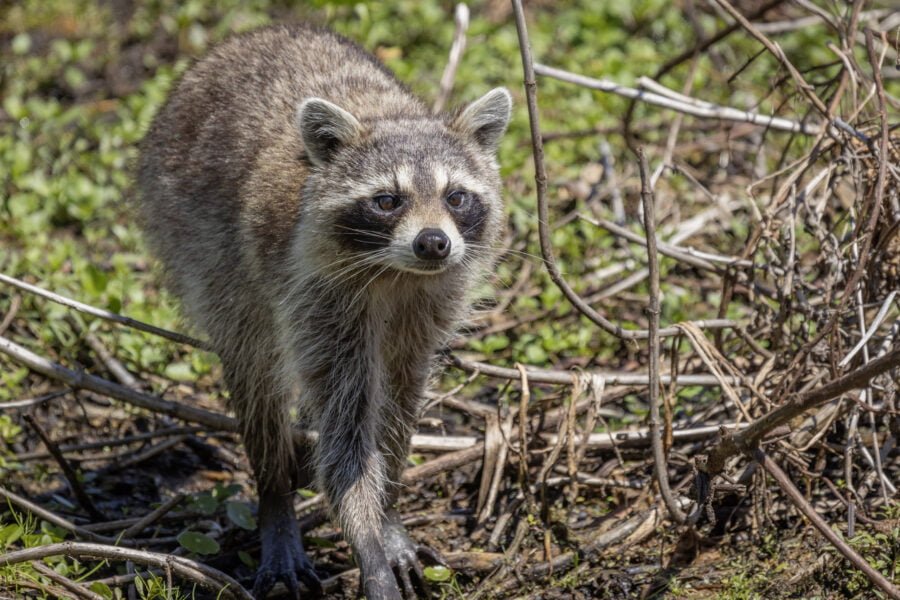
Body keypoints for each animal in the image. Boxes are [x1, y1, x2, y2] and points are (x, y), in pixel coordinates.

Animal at [137, 24, 510, 600]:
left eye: (456, 196)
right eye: (387, 200)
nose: (433, 242)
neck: (395, 272)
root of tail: (252, 36)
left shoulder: (429, 302)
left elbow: (399, 400)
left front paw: (388, 511)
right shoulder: (319, 296)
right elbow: (345, 428)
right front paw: (366, 537)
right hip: (199, 246)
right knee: (256, 378)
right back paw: (275, 497)